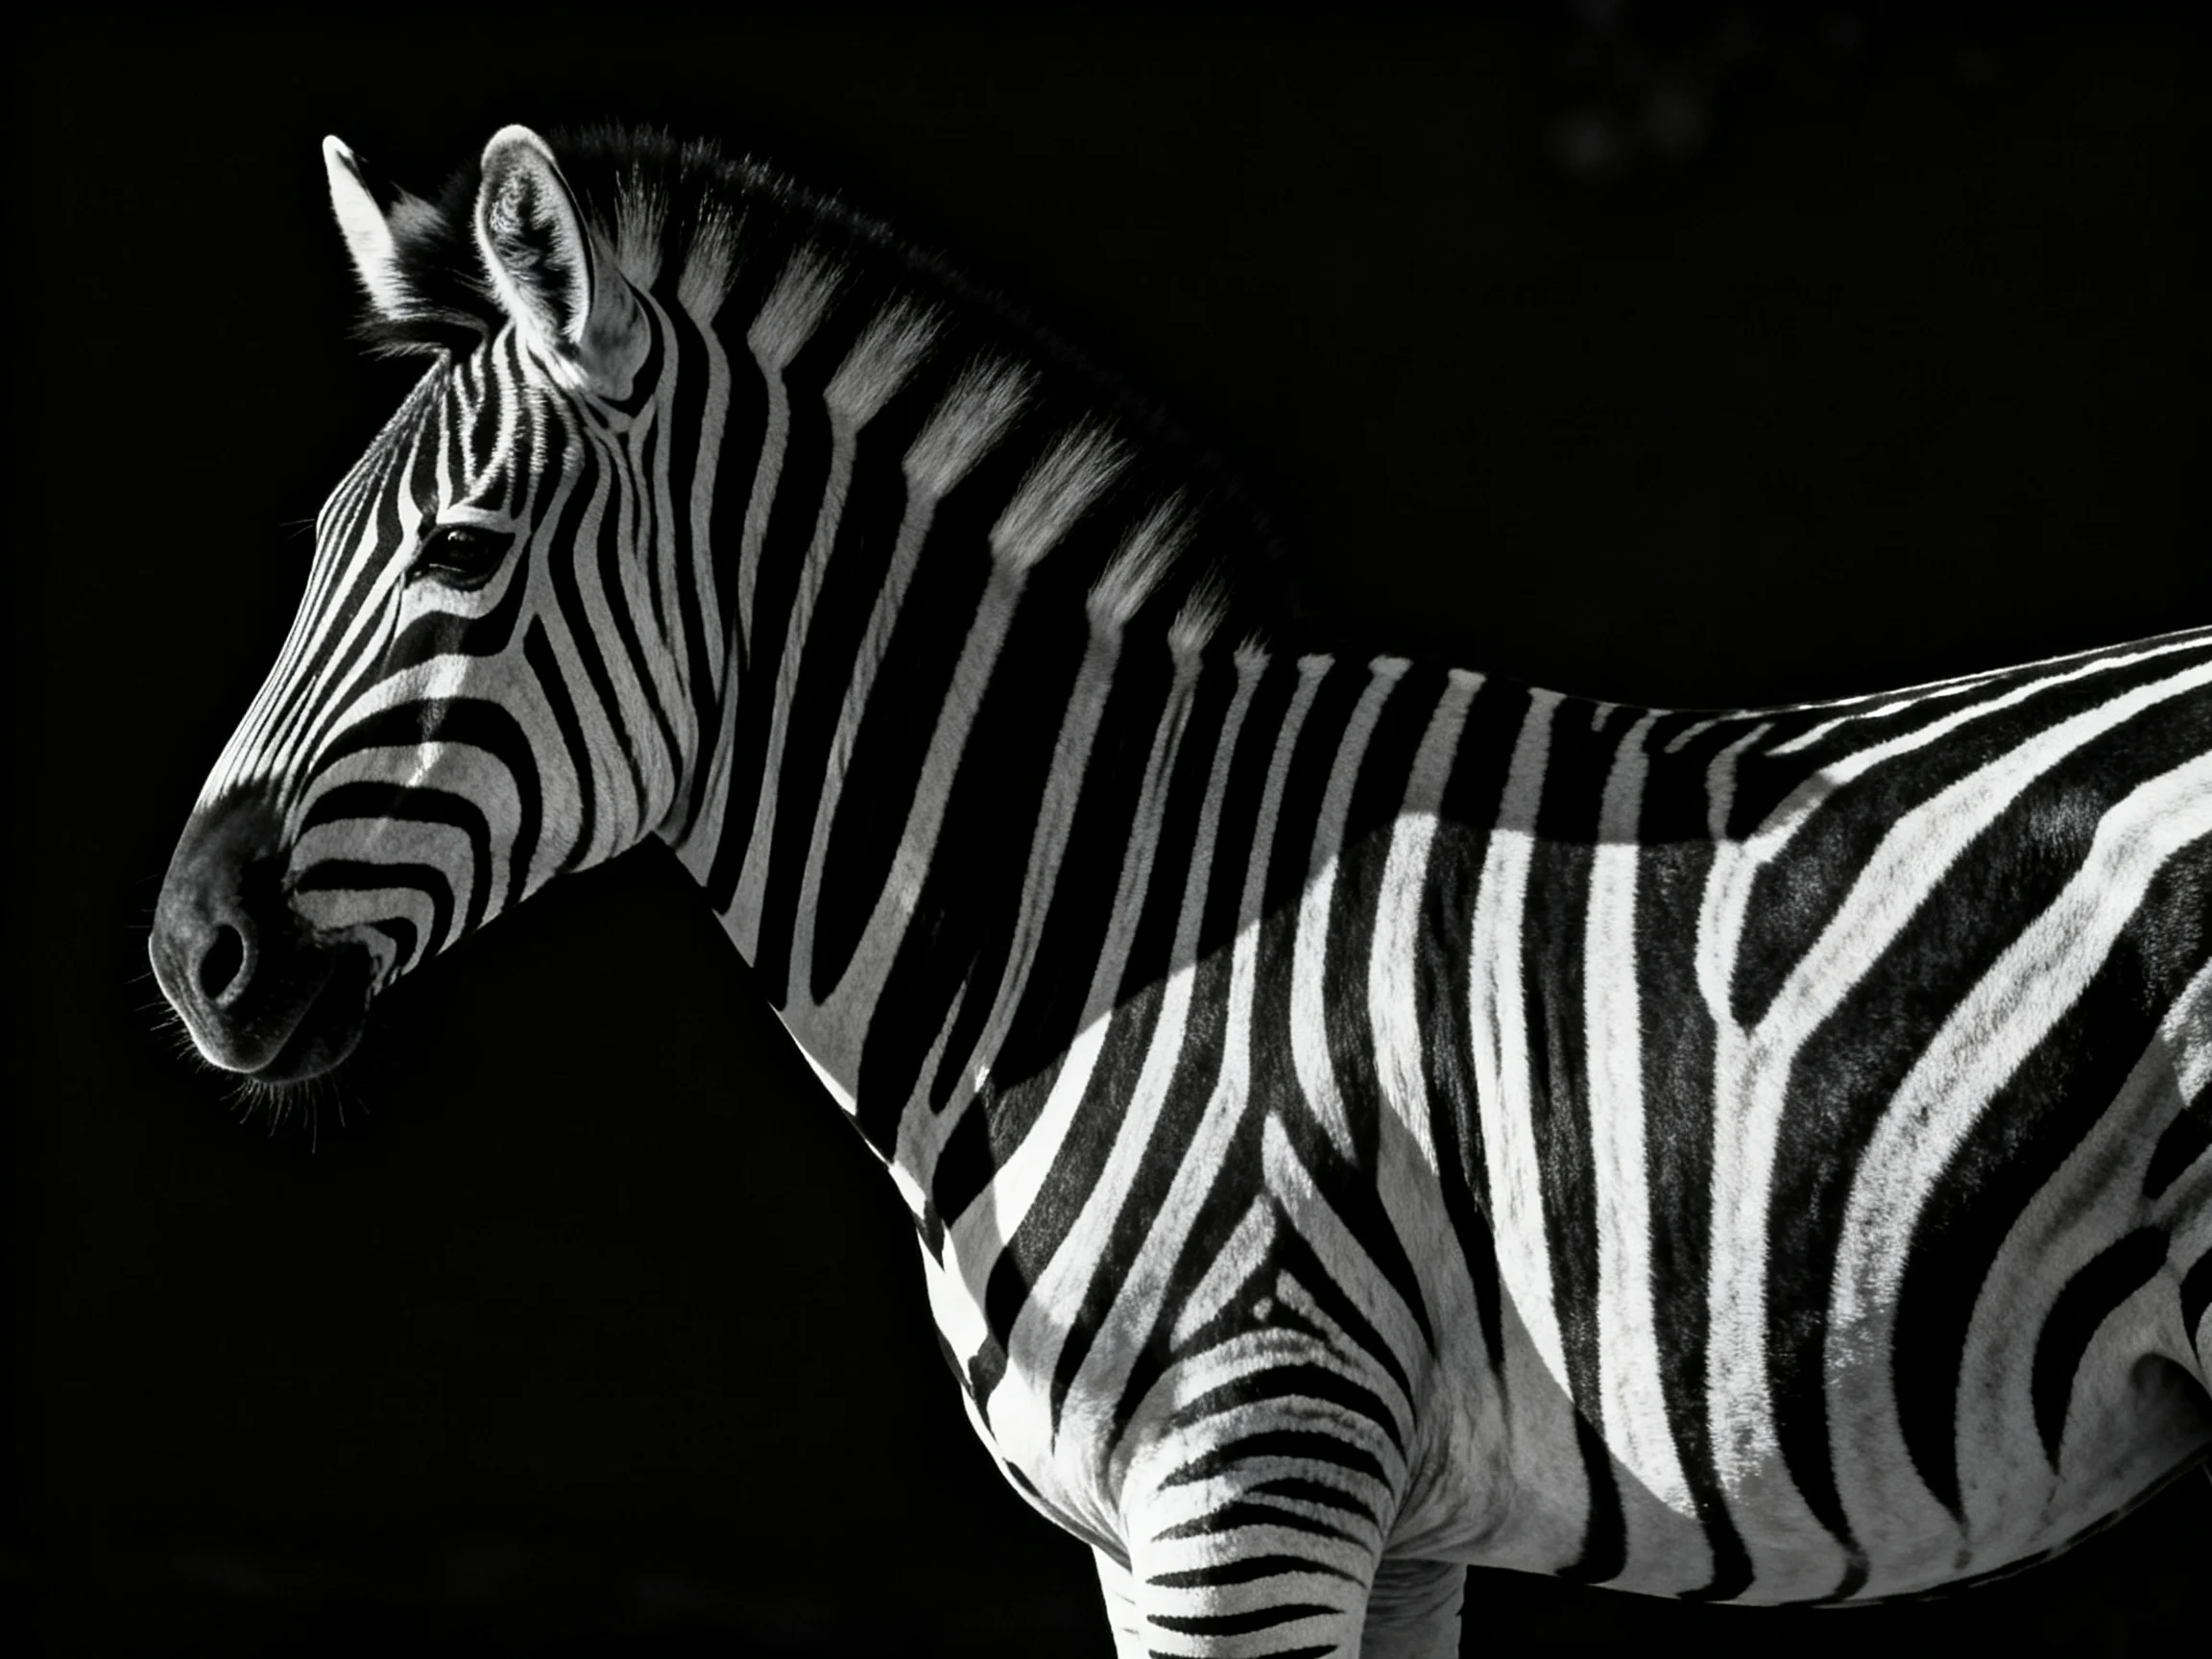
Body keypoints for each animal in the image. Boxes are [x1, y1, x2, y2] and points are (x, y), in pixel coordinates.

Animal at [147, 123, 2212, 1656]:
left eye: (464, 556)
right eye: (313, 547)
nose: (192, 954)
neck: (1092, 914)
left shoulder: (1251, 1466)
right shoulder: (1335, 1525)